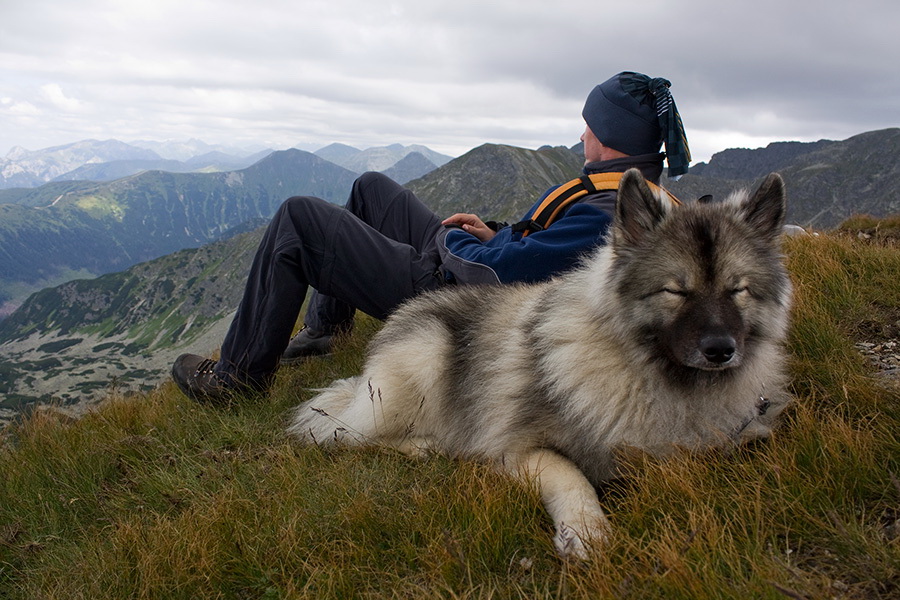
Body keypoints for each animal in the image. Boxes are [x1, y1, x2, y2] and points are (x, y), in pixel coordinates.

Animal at [288, 169, 796, 556]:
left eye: (738, 289)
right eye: (676, 290)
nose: (720, 349)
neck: (642, 372)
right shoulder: (517, 448)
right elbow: (571, 477)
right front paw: (588, 532)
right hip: (422, 362)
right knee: (344, 434)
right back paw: (425, 445)